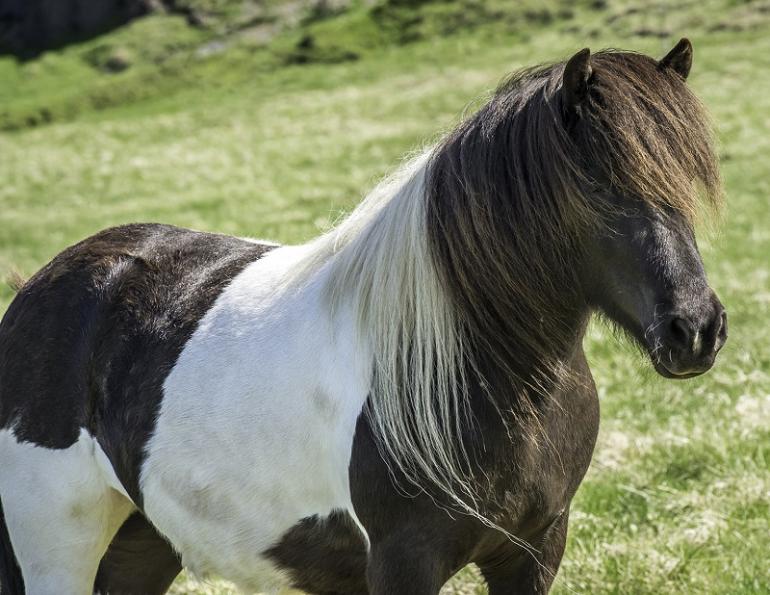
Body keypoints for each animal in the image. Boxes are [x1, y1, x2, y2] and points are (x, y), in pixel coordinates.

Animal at [0, 38, 727, 594]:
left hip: (142, 540)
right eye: (600, 186)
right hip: (57, 550)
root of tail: (37, 289)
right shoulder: (405, 564)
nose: (695, 329)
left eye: (688, 179)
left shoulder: (535, 550)